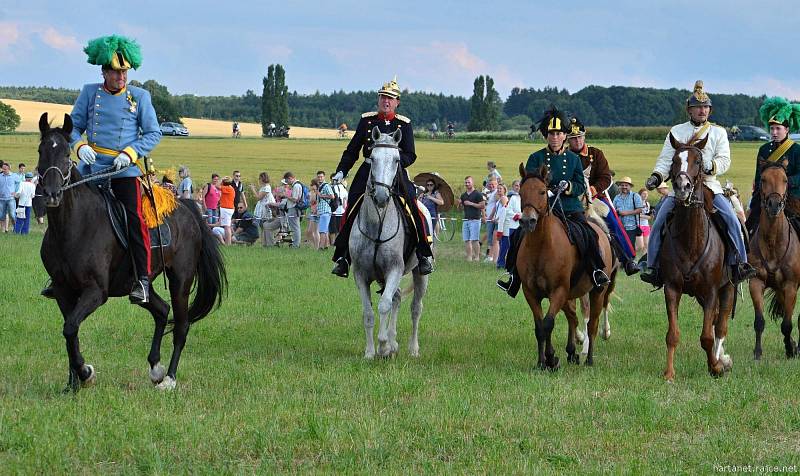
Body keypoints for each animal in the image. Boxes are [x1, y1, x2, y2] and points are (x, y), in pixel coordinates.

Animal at [37, 113, 228, 392]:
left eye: (64, 154)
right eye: (41, 151)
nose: (51, 195)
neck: (73, 226)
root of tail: (187, 208)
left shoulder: (96, 291)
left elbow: (70, 328)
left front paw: (85, 373)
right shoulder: (63, 291)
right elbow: (70, 332)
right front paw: (73, 382)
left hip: (180, 280)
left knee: (181, 326)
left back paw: (169, 378)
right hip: (137, 284)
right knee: (162, 310)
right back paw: (155, 368)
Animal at [348, 125, 428, 356]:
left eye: (396, 159)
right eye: (372, 158)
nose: (382, 197)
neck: (377, 225)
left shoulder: (394, 268)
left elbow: (383, 305)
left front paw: (383, 346)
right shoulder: (361, 274)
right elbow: (368, 313)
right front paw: (370, 352)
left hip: (420, 274)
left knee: (415, 308)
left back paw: (412, 348)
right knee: (397, 297)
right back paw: (394, 343)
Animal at [516, 165, 616, 370]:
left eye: (542, 191)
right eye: (521, 192)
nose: (528, 221)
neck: (541, 246)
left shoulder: (558, 291)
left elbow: (548, 324)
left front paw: (550, 359)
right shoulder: (531, 293)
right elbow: (540, 327)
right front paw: (542, 362)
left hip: (598, 290)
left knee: (592, 323)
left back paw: (589, 358)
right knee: (573, 317)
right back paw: (572, 352)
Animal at [660, 133, 736, 380]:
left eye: (699, 161)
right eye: (674, 160)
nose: (682, 187)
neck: (691, 241)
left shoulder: (712, 291)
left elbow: (707, 337)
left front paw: (716, 367)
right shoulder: (672, 288)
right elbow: (672, 334)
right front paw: (669, 374)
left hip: (727, 288)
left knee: (720, 326)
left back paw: (722, 359)